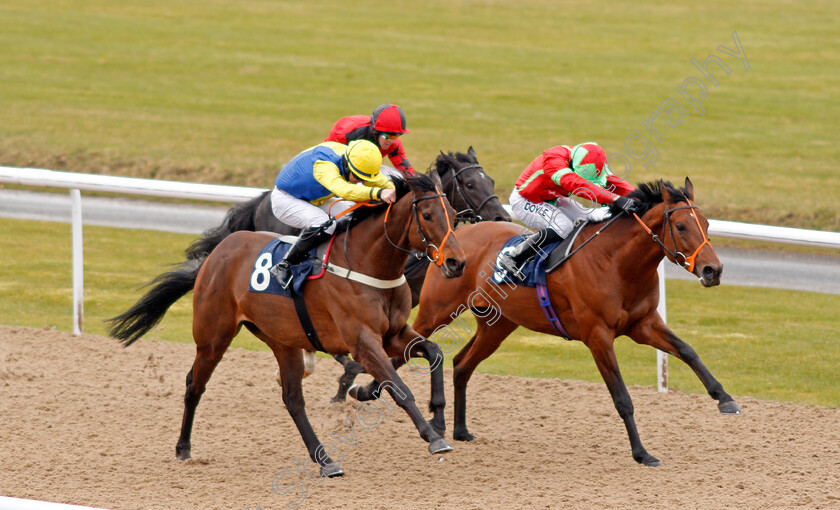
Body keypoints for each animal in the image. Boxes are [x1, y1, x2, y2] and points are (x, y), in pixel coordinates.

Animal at [106, 175, 466, 478]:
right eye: (428, 215)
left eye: (452, 213)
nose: (456, 262)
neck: (368, 264)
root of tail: (219, 252)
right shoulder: (362, 341)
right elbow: (399, 388)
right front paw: (433, 436)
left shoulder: (393, 333)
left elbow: (433, 352)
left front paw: (438, 416)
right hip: (213, 336)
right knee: (195, 384)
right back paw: (183, 448)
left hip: (283, 340)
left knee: (292, 399)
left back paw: (325, 460)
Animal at [406, 178, 740, 466]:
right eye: (681, 225)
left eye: (706, 224)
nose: (713, 270)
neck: (616, 263)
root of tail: (451, 239)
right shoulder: (598, 336)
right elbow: (622, 398)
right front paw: (642, 453)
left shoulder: (643, 324)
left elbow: (687, 350)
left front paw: (725, 399)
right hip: (437, 311)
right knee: (411, 346)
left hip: (497, 325)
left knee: (462, 364)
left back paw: (460, 430)